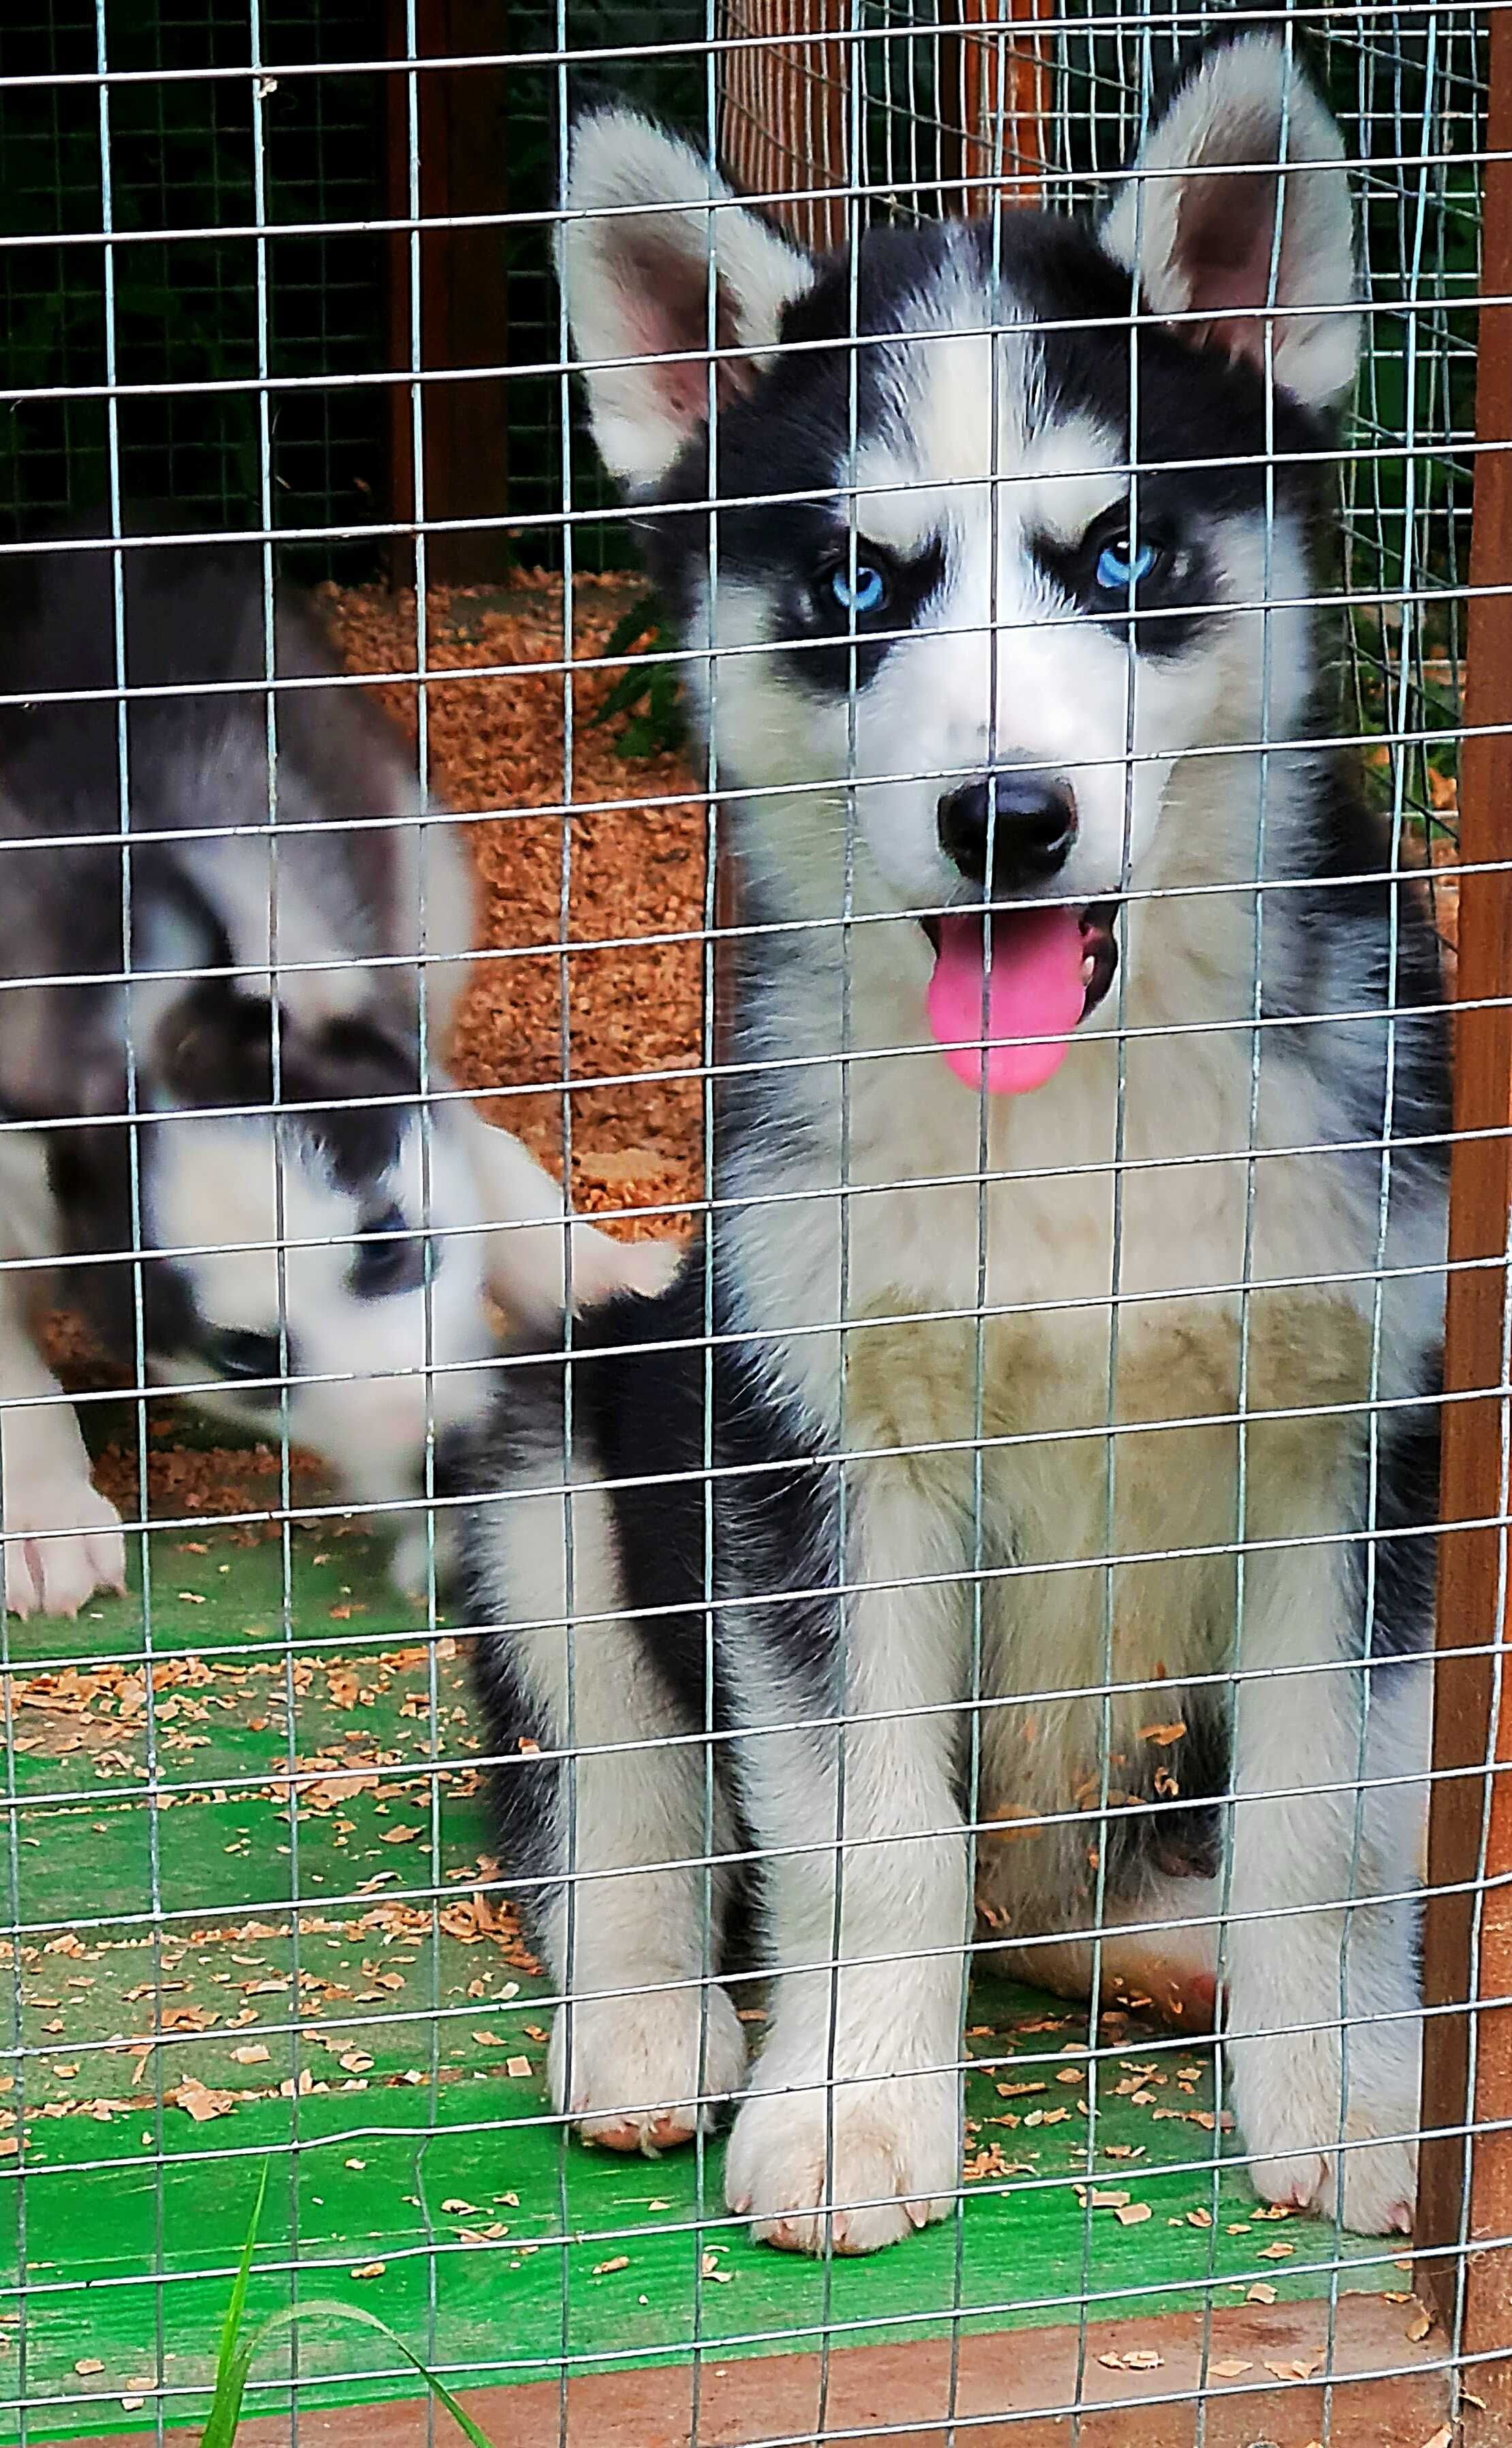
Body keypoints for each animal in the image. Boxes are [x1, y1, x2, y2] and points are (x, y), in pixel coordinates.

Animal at [462, 38, 1448, 2252]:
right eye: (853, 583)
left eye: (1116, 558)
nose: (1006, 818)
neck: (1071, 1109)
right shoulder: (811, 1450)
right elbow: (860, 1833)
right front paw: (848, 2111)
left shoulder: (1357, 1427)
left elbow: (1328, 1819)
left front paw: (1345, 2086)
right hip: (580, 1436)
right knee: (612, 1799)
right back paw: (647, 2022)